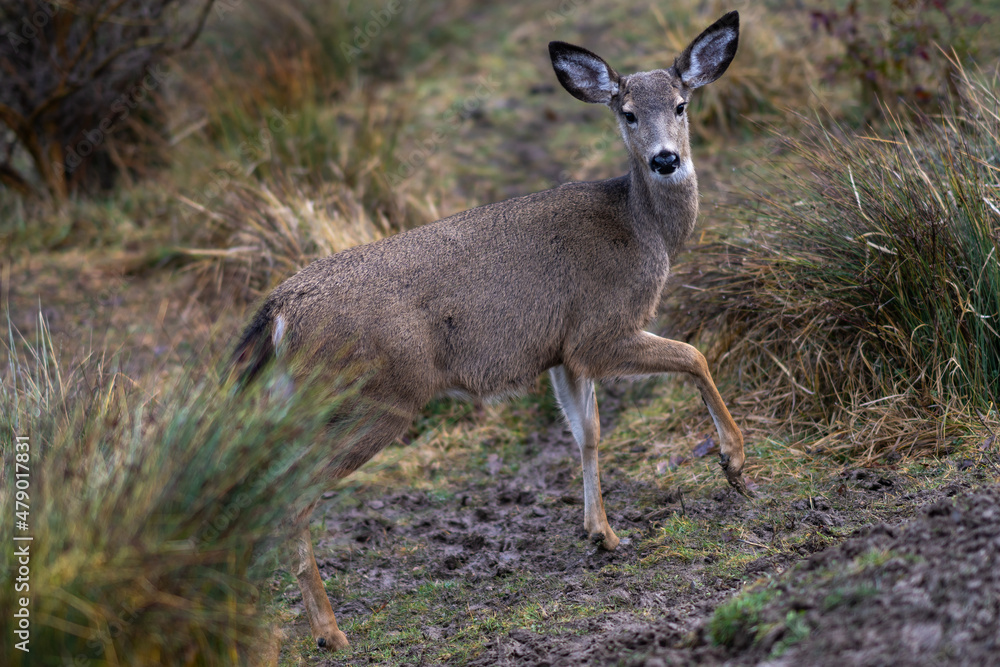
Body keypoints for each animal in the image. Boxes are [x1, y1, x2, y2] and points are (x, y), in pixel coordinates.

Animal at [232, 11, 752, 652]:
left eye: (681, 104)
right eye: (627, 112)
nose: (665, 160)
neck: (642, 228)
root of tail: (279, 311)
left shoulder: (563, 350)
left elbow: (587, 432)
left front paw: (603, 534)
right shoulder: (601, 328)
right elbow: (692, 354)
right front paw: (734, 464)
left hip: (303, 401)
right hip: (375, 397)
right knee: (294, 495)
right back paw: (331, 632)